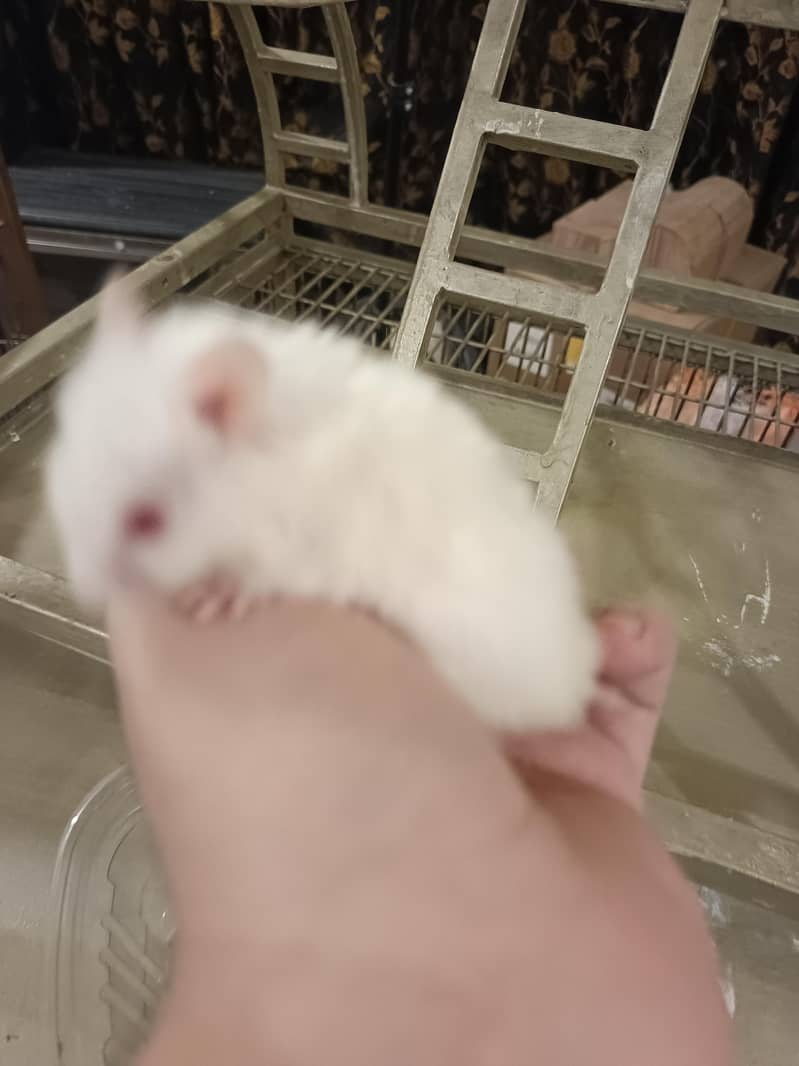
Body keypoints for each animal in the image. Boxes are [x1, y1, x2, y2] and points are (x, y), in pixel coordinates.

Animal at [45, 278, 599, 731]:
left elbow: (255, 577)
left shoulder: (301, 548)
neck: (249, 483)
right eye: (57, 475)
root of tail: (578, 672)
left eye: (147, 521)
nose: (88, 598)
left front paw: (211, 598)